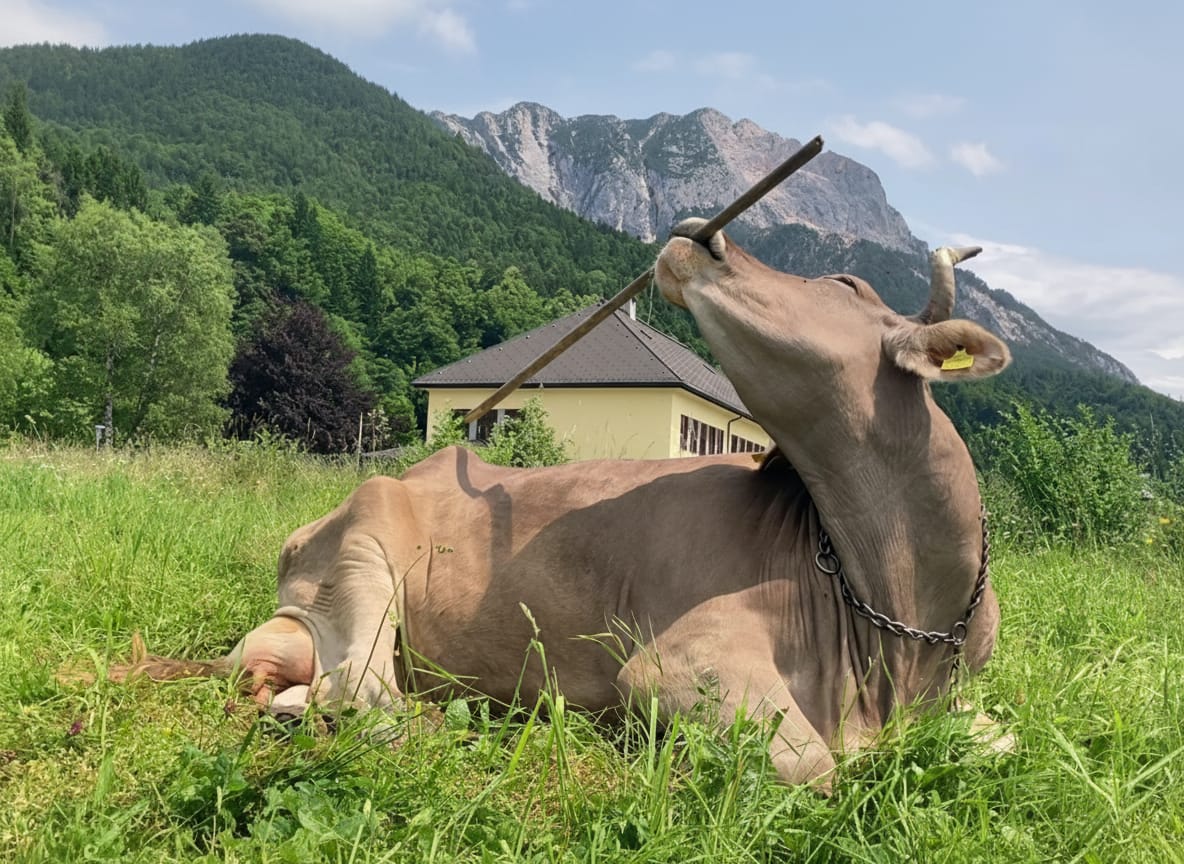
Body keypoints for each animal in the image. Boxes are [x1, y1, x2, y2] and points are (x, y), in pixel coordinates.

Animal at [114, 219, 1011, 788]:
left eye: (843, 281)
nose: (703, 232)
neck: (897, 620)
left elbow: (1001, 738)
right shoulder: (675, 661)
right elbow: (816, 768)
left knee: (320, 695)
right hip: (365, 549)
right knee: (368, 698)